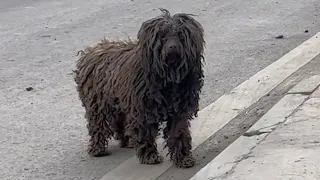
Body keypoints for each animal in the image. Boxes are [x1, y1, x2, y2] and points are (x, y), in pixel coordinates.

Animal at [74, 8, 205, 169]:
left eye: (181, 35)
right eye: (162, 36)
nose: (172, 47)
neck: (167, 79)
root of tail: (91, 50)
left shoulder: (179, 111)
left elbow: (178, 133)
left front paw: (183, 158)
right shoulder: (142, 110)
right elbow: (145, 133)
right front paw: (150, 156)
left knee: (120, 122)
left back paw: (127, 141)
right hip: (98, 104)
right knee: (98, 125)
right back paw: (98, 148)